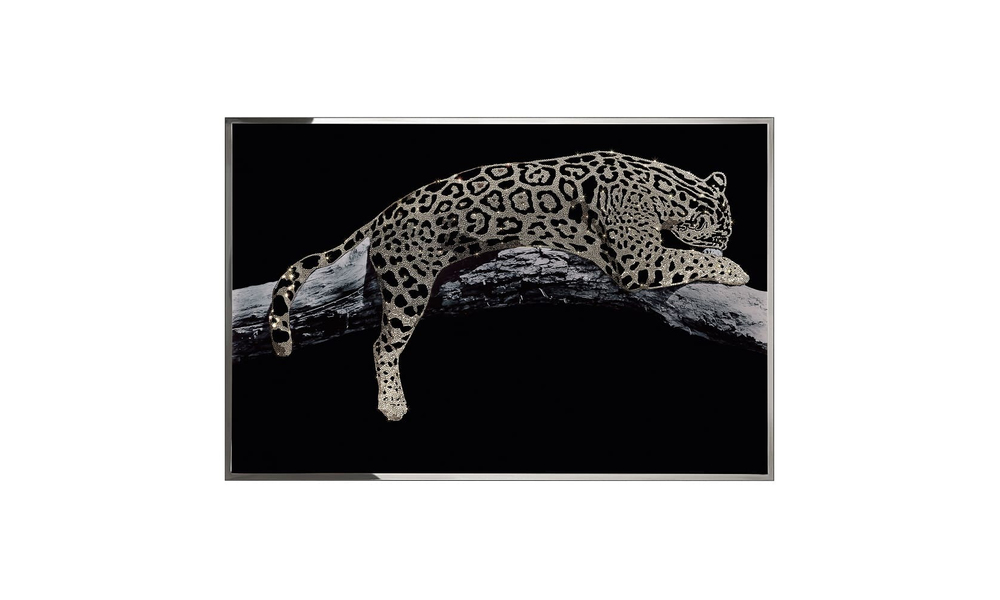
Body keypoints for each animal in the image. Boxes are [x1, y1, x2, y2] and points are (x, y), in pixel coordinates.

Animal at [267, 151, 749, 421]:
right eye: (721, 235)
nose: (729, 244)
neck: (665, 186)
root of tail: (385, 212)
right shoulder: (639, 259)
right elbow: (686, 257)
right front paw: (735, 269)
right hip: (408, 287)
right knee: (383, 344)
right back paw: (391, 404)